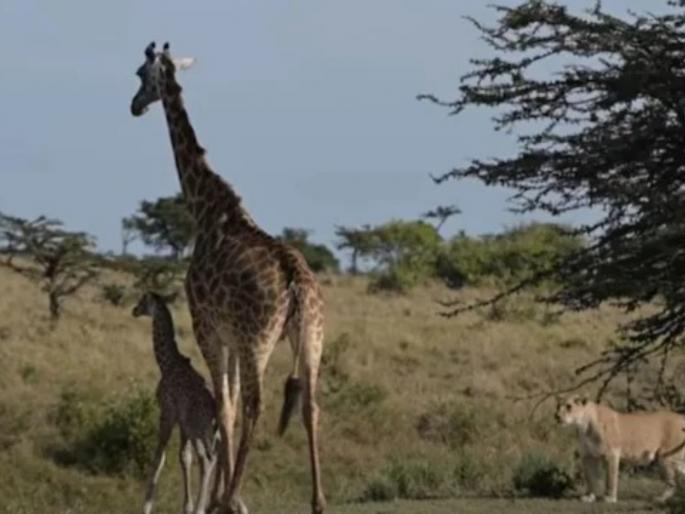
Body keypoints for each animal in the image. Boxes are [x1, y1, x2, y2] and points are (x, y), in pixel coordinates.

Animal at [133, 292, 218, 514]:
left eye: (143, 301)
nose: (134, 310)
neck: (166, 363)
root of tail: (215, 411)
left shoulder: (167, 412)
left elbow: (159, 459)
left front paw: (146, 506)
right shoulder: (182, 423)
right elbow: (184, 458)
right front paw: (186, 506)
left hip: (199, 430)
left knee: (207, 461)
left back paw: (201, 508)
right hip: (210, 434)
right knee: (212, 459)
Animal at [555, 394, 685, 503]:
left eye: (569, 406)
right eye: (557, 406)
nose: (556, 416)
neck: (583, 426)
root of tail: (681, 417)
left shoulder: (611, 454)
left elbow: (610, 478)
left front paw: (609, 498)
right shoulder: (588, 456)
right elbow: (590, 478)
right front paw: (589, 496)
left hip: (665, 457)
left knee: (672, 484)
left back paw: (660, 499)